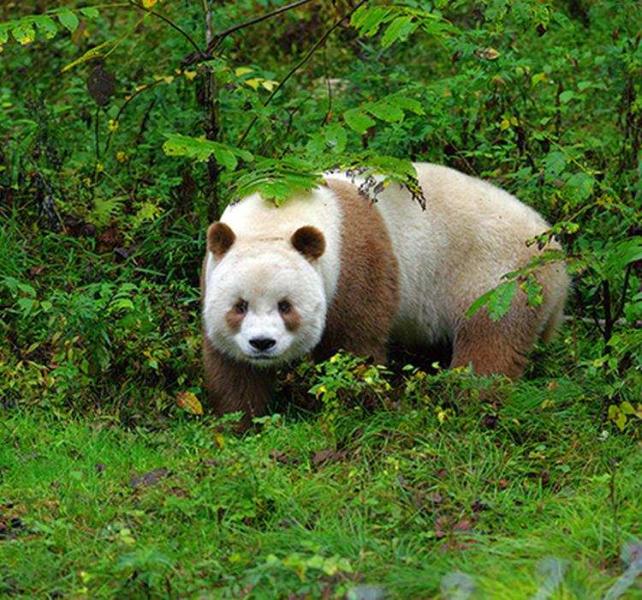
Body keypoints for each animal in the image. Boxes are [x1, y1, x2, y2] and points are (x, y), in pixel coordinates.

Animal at [201, 163, 569, 424]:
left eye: (286, 306)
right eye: (240, 306)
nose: (262, 343)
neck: (276, 214)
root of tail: (555, 250)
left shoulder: (352, 264)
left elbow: (354, 344)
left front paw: (356, 407)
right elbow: (231, 366)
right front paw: (241, 419)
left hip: (496, 281)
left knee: (489, 344)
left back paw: (471, 402)